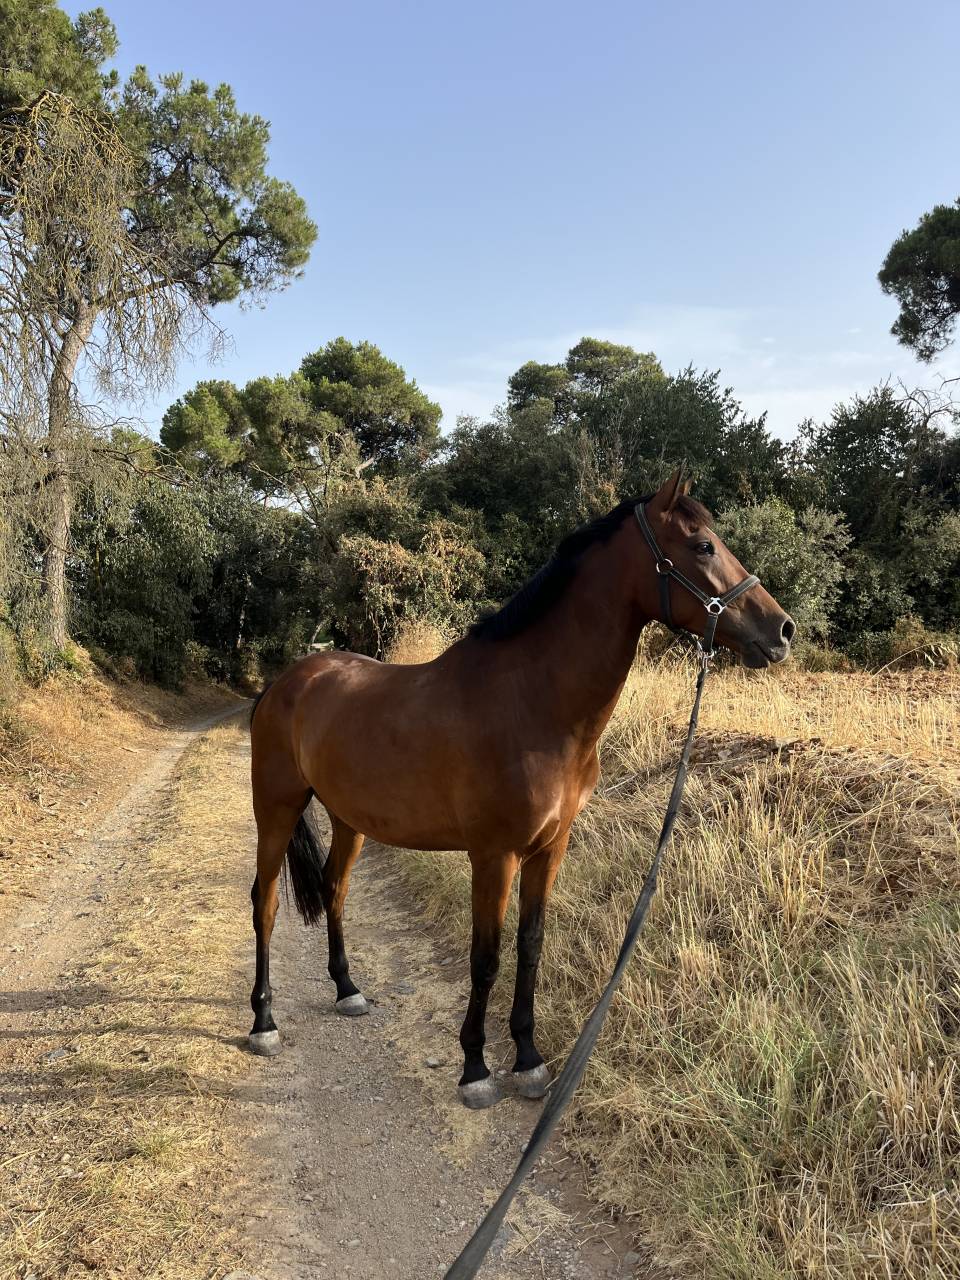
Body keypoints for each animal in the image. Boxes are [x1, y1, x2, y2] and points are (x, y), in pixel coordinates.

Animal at [247, 470, 795, 1108]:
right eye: (703, 546)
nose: (781, 630)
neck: (532, 706)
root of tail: (284, 683)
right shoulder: (494, 855)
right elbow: (486, 957)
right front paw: (475, 1069)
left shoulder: (549, 848)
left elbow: (530, 946)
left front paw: (529, 1059)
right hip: (276, 809)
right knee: (265, 901)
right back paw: (263, 1022)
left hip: (348, 819)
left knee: (335, 889)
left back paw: (347, 989)